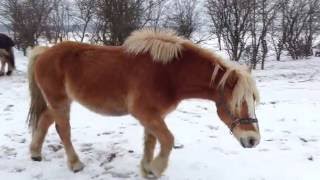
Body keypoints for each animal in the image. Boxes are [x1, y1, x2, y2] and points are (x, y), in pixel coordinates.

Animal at [25, 28, 260, 178]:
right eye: (237, 103)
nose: (253, 140)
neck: (169, 74)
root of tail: (44, 52)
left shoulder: (154, 115)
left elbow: (151, 141)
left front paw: (147, 169)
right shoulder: (145, 113)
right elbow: (167, 140)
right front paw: (156, 168)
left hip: (59, 102)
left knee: (45, 121)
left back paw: (35, 153)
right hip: (60, 101)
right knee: (62, 129)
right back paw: (75, 164)